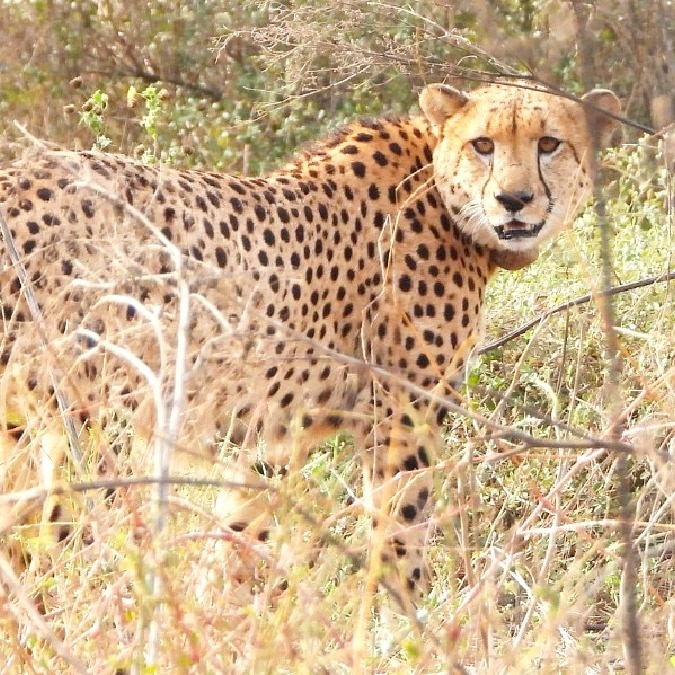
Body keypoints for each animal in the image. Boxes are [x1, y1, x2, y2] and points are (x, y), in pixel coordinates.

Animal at [0, 81, 620, 600]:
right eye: (483, 144)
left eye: (549, 144)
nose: (514, 200)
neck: (444, 195)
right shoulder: (401, 416)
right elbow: (399, 532)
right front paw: (406, 626)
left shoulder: (271, 438)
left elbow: (238, 537)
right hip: (84, 420)